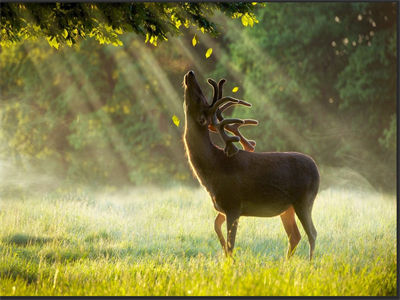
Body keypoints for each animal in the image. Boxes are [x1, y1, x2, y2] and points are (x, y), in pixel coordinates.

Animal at [183, 70, 320, 260]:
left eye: (199, 98)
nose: (190, 73)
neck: (213, 168)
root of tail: (316, 169)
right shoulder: (223, 207)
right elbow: (216, 227)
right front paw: (224, 253)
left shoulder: (233, 204)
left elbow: (231, 244)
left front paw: (230, 262)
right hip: (287, 208)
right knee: (295, 235)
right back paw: (286, 263)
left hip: (304, 199)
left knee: (312, 233)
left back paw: (310, 263)